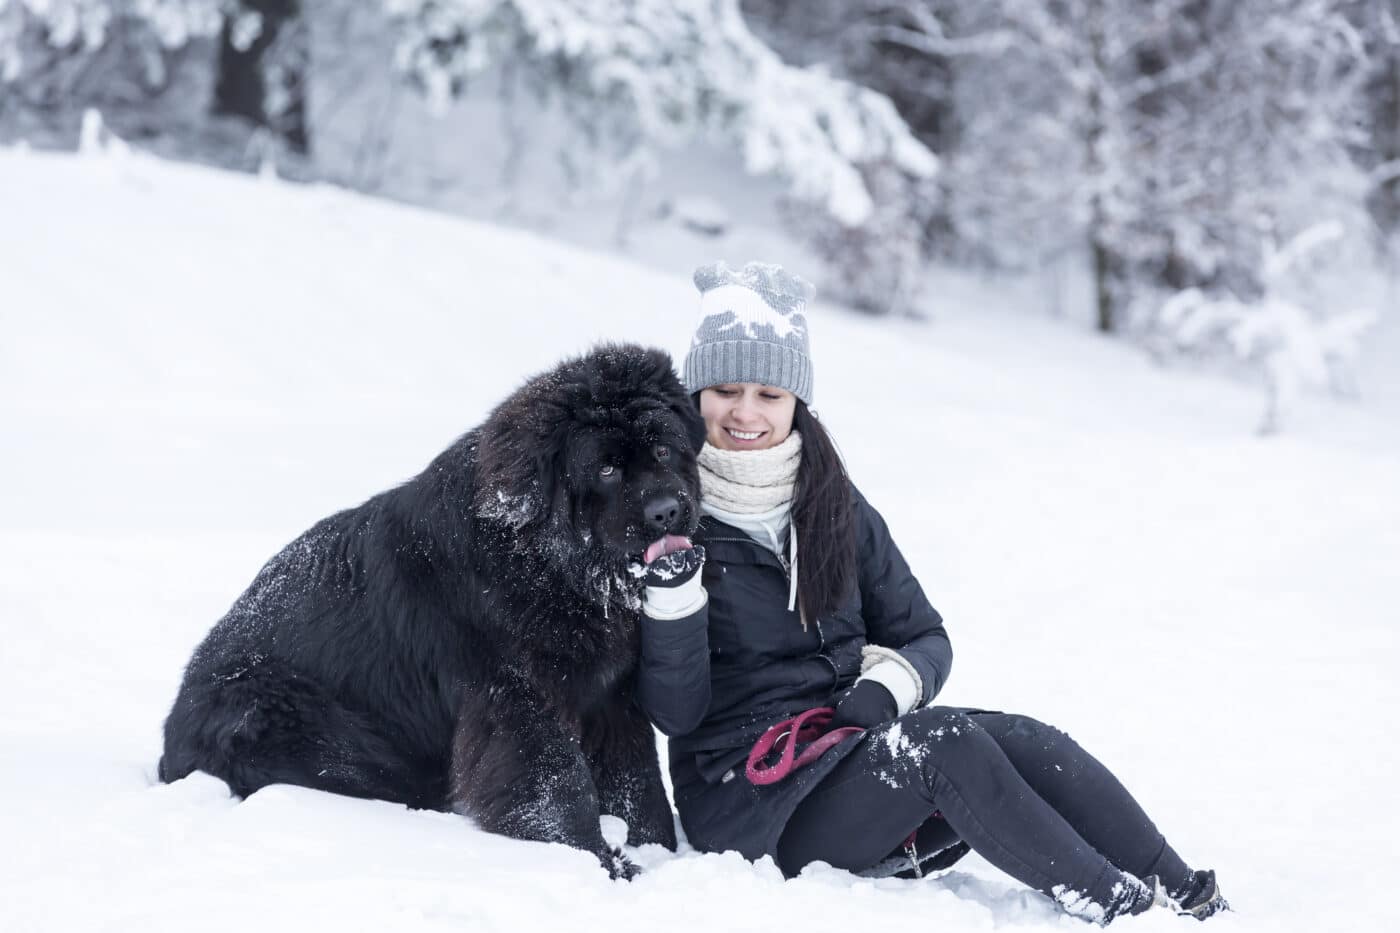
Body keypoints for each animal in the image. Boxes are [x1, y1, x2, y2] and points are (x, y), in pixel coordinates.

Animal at [160, 341, 705, 874]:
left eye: (662, 449)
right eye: (607, 469)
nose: (667, 510)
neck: (553, 567)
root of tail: (172, 731)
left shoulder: (610, 694)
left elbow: (635, 778)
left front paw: (656, 850)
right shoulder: (516, 698)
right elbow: (556, 783)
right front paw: (597, 863)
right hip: (285, 713)